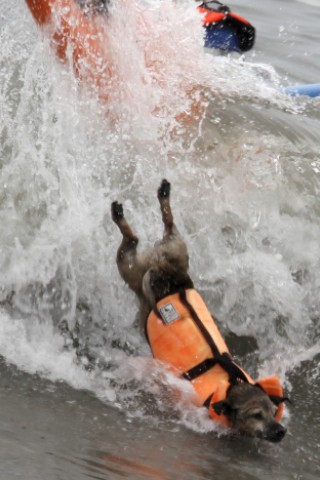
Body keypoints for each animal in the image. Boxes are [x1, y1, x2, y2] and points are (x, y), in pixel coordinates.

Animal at [112, 180, 288, 442]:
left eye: (273, 411)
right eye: (256, 415)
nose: (281, 430)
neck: (232, 385)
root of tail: (163, 269)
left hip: (175, 249)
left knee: (165, 226)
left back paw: (162, 195)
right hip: (129, 269)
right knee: (131, 242)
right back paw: (120, 215)